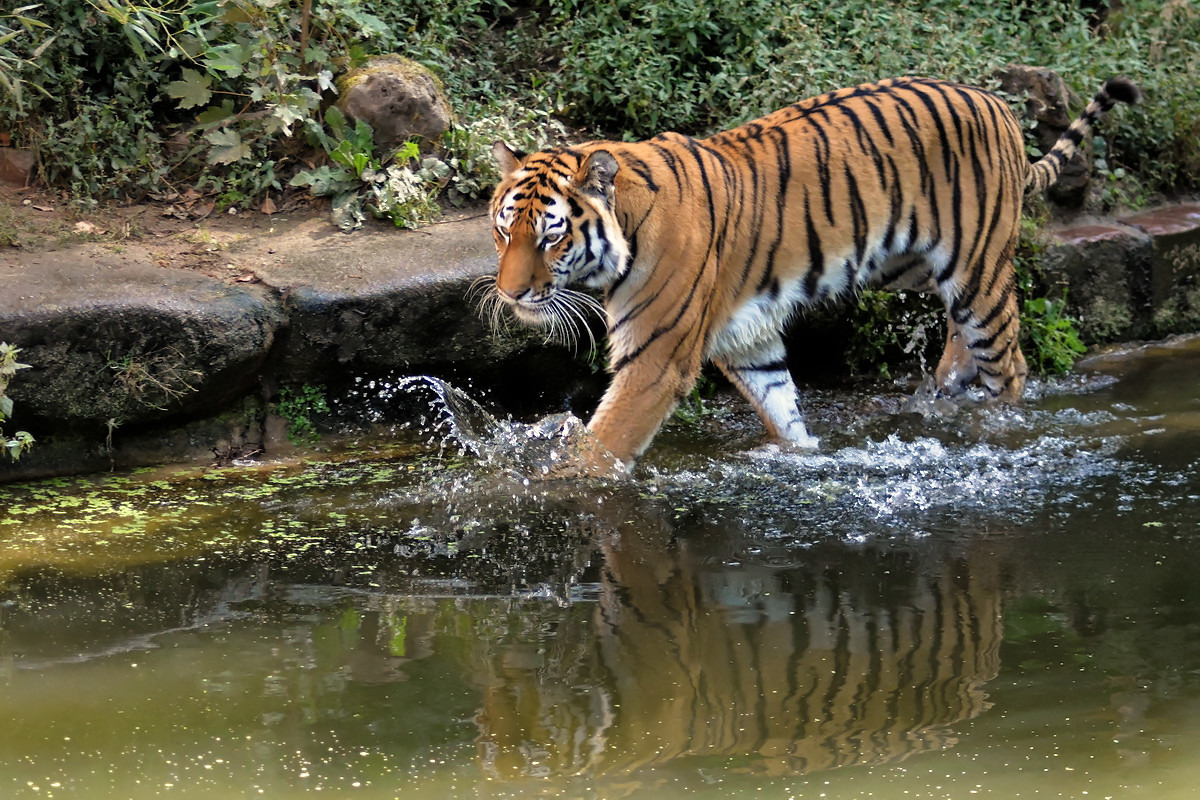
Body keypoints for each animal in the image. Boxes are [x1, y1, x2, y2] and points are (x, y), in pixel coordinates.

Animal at [483, 75, 1140, 473]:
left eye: (550, 236)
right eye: (504, 229)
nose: (511, 294)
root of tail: (999, 105)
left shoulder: (656, 357)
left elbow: (604, 444)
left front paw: (562, 488)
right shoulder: (746, 338)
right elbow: (782, 406)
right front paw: (802, 457)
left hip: (976, 270)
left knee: (1010, 365)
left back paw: (992, 424)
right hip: (909, 264)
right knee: (960, 331)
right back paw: (946, 384)